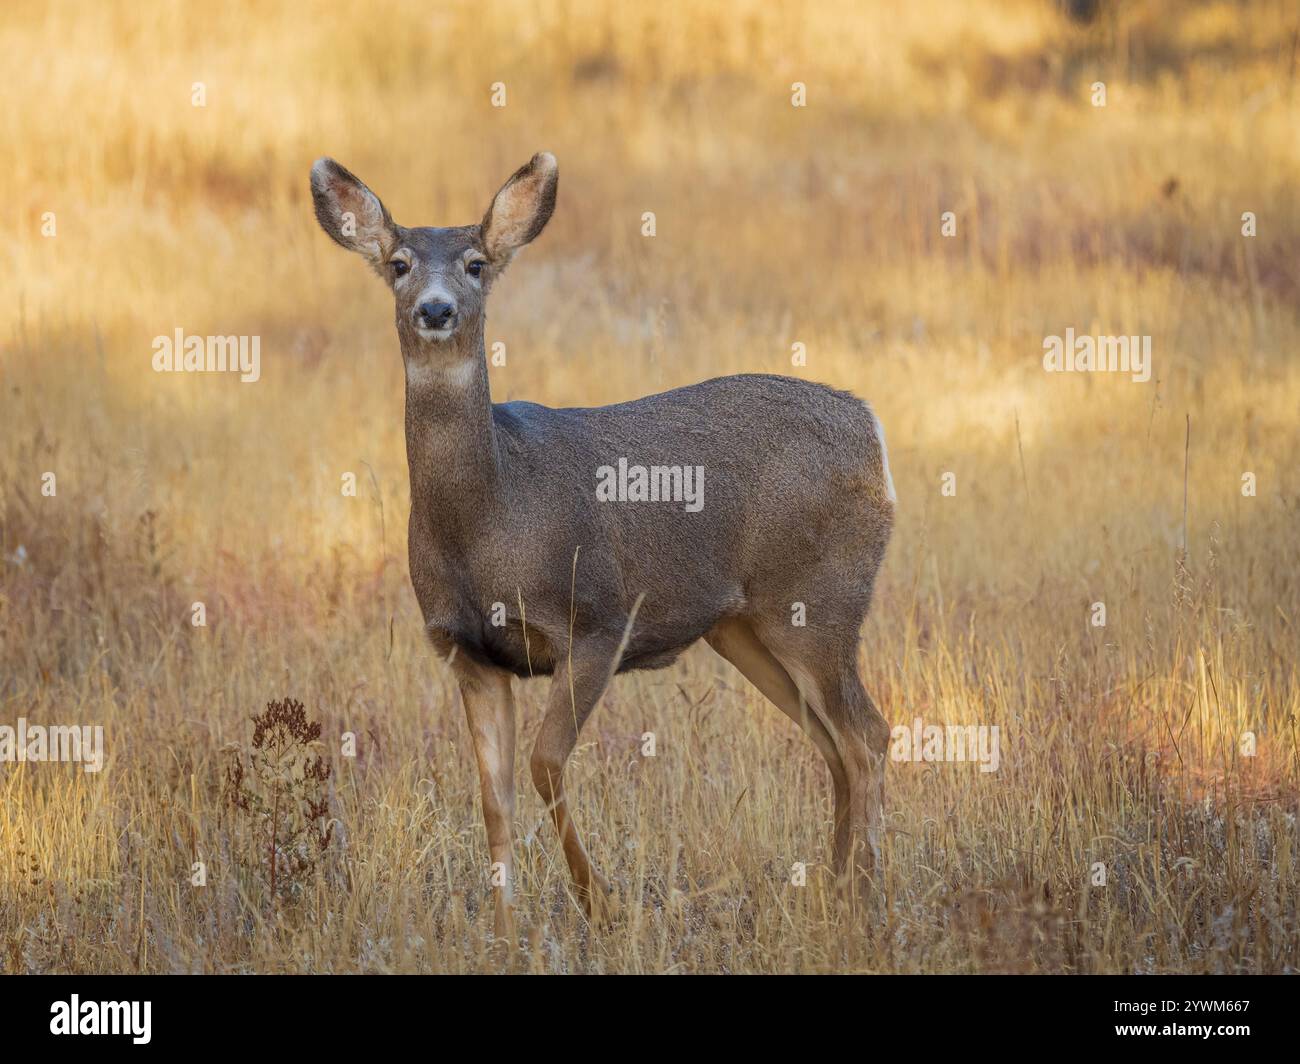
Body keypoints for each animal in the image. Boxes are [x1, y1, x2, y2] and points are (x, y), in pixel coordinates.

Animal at [308, 149, 894, 936]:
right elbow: (493, 796)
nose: (435, 309)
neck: (489, 519)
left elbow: (546, 763)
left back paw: (863, 901)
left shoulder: (597, 619)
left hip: (820, 597)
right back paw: (833, 890)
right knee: (833, 742)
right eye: (399, 263)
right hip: (744, 626)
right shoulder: (467, 650)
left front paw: (599, 903)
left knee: (868, 735)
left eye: (475, 263)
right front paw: (505, 929)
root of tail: (873, 431)